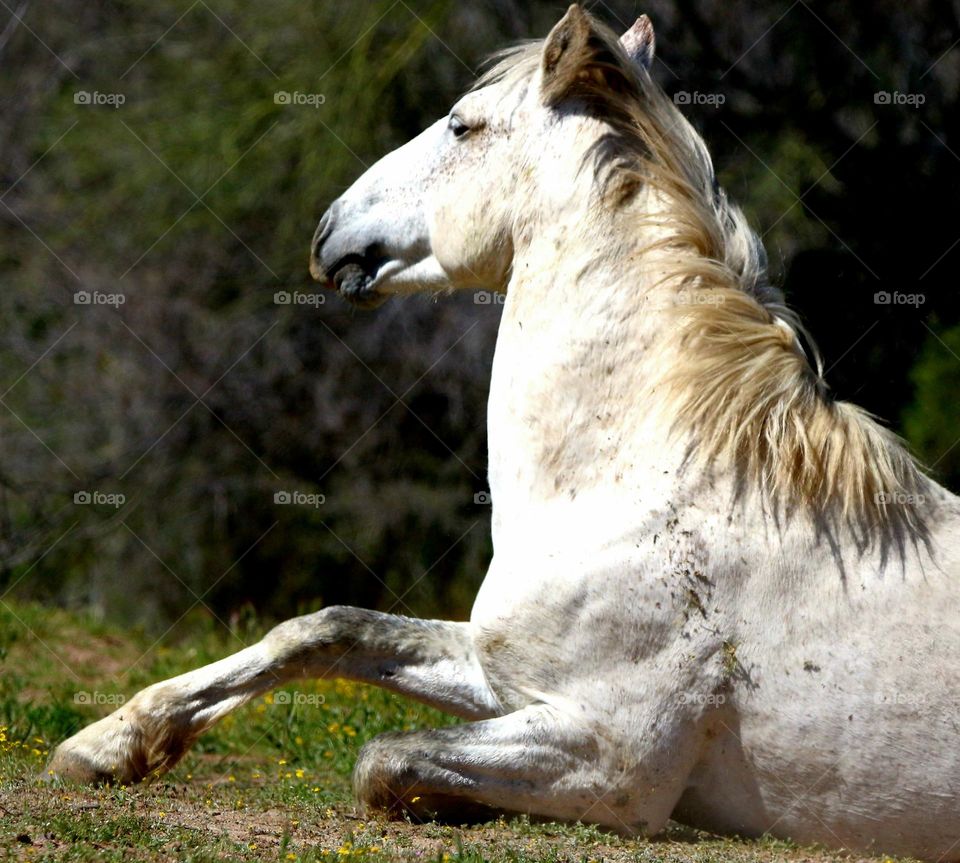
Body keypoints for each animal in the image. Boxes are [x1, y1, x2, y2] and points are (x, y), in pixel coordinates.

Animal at [48, 5, 960, 860]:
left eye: (462, 124)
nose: (327, 229)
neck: (638, 484)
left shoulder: (613, 758)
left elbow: (382, 755)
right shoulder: (502, 670)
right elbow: (322, 628)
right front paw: (107, 742)